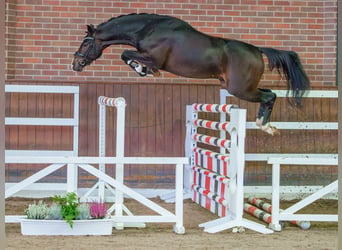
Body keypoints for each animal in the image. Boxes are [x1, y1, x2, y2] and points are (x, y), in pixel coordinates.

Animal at [73, 13, 312, 135]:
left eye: (85, 43)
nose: (76, 64)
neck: (148, 29)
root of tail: (257, 50)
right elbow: (126, 54)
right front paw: (145, 71)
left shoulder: (153, 57)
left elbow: (125, 54)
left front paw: (144, 70)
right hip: (241, 87)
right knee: (268, 93)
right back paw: (265, 124)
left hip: (240, 89)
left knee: (270, 96)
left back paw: (266, 126)